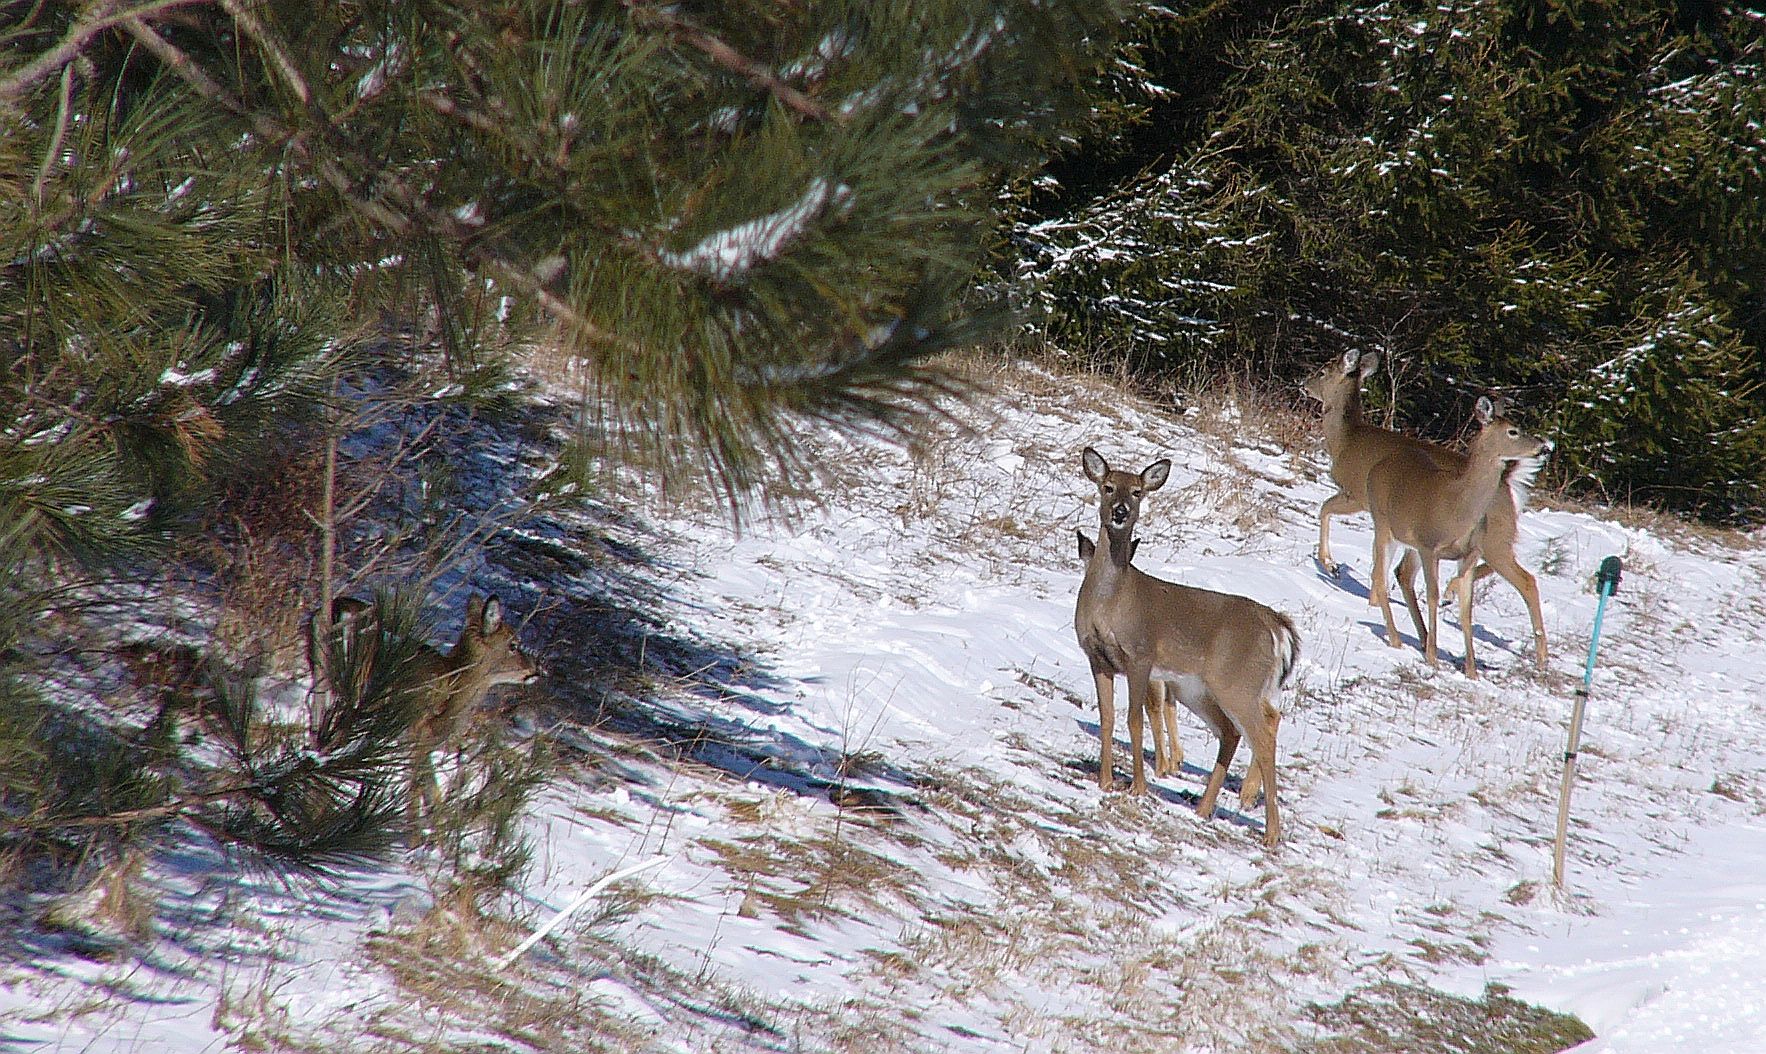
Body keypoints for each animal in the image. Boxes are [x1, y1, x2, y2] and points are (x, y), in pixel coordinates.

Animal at [307, 593, 536, 822]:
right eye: (514, 645)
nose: (535, 670)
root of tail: (339, 609)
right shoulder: (418, 731)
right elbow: (420, 792)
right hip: (355, 686)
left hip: (322, 679)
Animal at [1066, 446, 1306, 847]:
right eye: (1108, 486)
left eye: (1138, 492)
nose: (1120, 512)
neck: (1112, 600)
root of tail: (1274, 624)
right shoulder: (1097, 658)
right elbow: (1108, 717)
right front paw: (1105, 781)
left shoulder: (1141, 655)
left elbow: (1134, 719)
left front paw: (1138, 787)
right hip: (1201, 688)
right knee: (1232, 732)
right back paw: (1204, 809)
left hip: (1238, 683)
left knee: (1262, 735)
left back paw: (1271, 832)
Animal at [1306, 349, 1554, 670]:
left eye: (1323, 371)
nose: (1305, 383)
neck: (1346, 439)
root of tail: (1508, 486)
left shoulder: (1357, 494)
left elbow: (1325, 509)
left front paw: (1331, 565)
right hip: (1490, 540)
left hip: (1494, 539)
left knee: (1526, 580)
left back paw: (1540, 657)